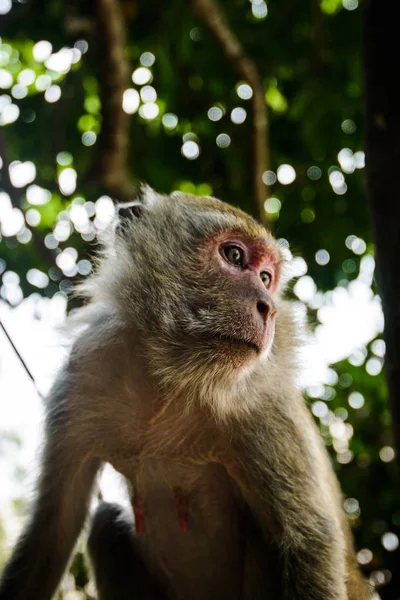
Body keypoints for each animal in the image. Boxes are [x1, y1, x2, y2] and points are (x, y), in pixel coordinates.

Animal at [0, 188, 372, 600]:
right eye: (234, 256)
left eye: (266, 277)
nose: (269, 308)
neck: (169, 381)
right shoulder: (83, 374)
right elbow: (53, 528)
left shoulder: (262, 404)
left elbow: (309, 542)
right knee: (106, 523)